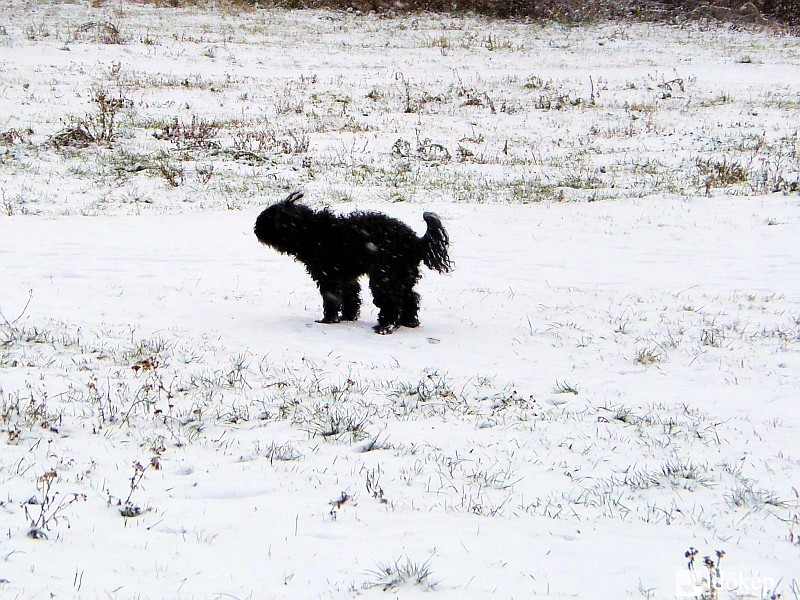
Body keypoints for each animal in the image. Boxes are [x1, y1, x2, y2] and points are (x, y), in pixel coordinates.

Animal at [253, 191, 454, 332]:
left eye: (267, 219)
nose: (255, 229)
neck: (311, 231)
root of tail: (416, 241)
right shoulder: (346, 277)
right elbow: (350, 298)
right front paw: (348, 318)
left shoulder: (328, 276)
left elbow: (331, 299)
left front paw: (328, 320)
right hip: (403, 276)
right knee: (411, 297)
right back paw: (409, 322)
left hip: (385, 277)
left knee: (392, 302)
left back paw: (385, 327)